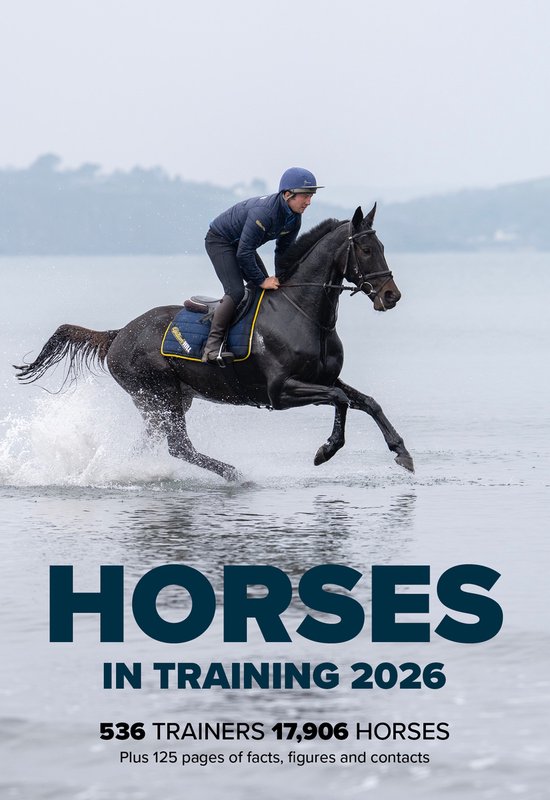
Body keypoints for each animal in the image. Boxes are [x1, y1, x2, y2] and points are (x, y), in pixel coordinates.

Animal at [14, 204, 414, 481]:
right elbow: (340, 399)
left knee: (151, 444)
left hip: (166, 401)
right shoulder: (280, 391)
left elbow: (367, 401)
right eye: (365, 250)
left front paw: (402, 453)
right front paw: (325, 451)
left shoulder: (323, 377)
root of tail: (119, 334)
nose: (391, 295)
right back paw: (235, 473)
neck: (303, 312)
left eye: (380, 245)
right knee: (179, 446)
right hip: (159, 393)